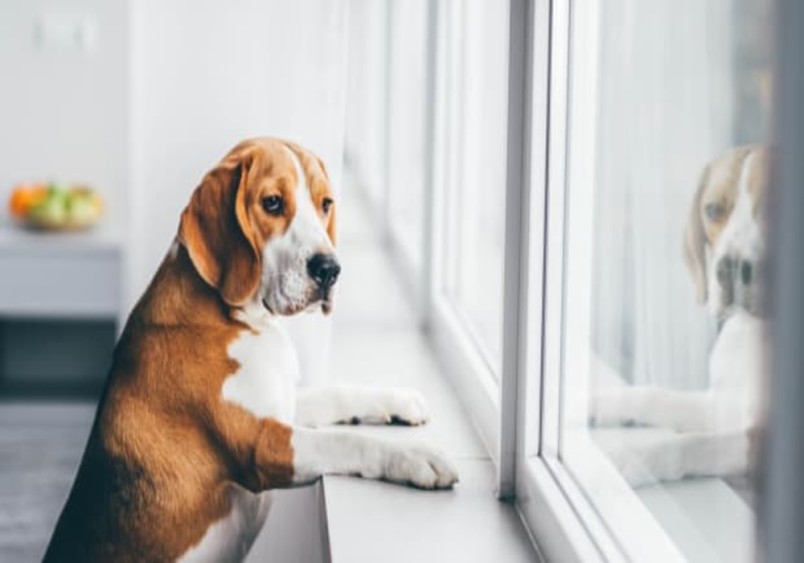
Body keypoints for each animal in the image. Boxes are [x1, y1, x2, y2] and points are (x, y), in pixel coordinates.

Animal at [45, 138, 458, 563]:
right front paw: (417, 457)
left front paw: (400, 400)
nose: (330, 269)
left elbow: (338, 393)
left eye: (325, 203)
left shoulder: (281, 404)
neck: (240, 319)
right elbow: (344, 441)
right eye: (272, 202)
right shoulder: (262, 444)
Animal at [592, 147, 768, 490]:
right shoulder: (720, 406)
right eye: (712, 210)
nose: (729, 268)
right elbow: (652, 396)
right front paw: (591, 402)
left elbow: (693, 444)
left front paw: (632, 460)